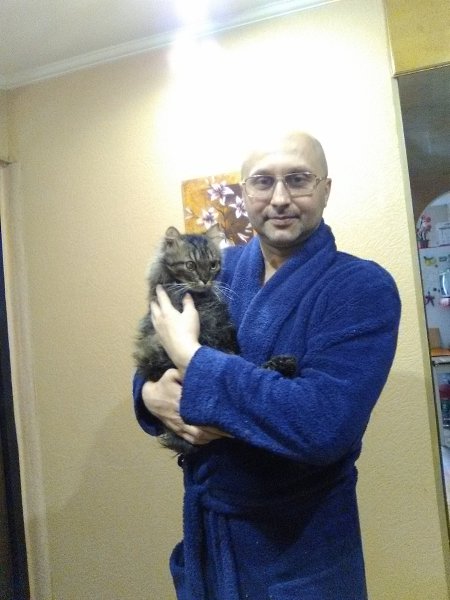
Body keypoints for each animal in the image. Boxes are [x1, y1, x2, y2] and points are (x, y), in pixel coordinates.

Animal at [134, 225, 297, 455]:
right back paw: (285, 364)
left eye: (212, 265)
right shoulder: (213, 337)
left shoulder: (223, 333)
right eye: (190, 265)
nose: (205, 280)